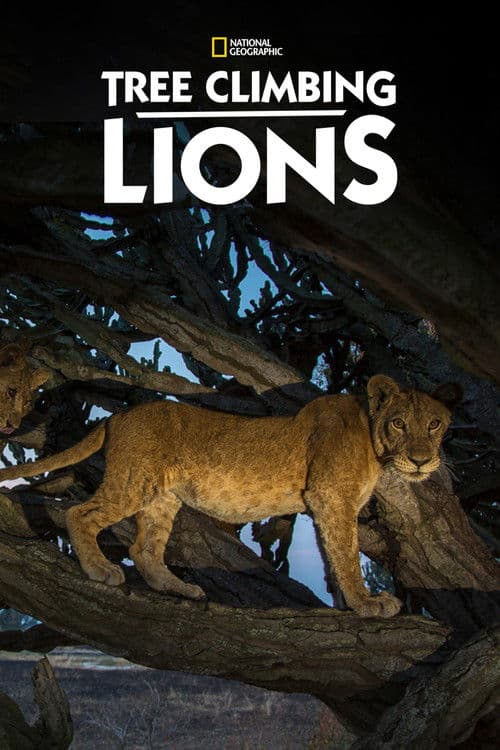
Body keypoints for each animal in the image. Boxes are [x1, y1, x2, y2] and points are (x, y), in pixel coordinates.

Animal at [0, 374, 461, 617]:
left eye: (434, 423)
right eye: (399, 423)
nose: (421, 461)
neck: (375, 442)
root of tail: (119, 414)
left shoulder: (326, 503)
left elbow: (333, 557)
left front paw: (350, 604)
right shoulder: (332, 496)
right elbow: (346, 556)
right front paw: (368, 605)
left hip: (163, 497)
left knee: (144, 548)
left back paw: (179, 589)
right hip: (133, 482)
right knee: (80, 513)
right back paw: (100, 570)